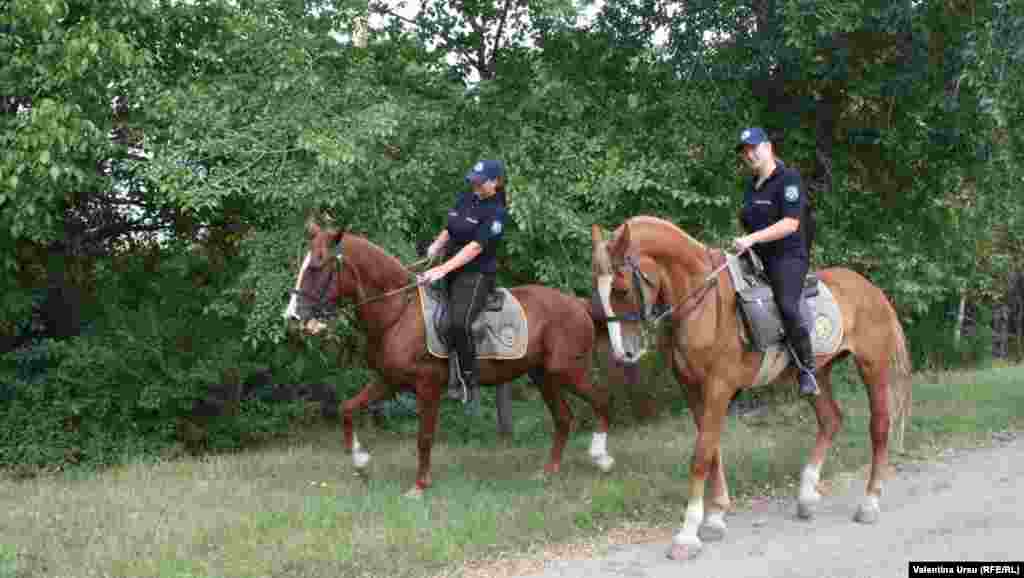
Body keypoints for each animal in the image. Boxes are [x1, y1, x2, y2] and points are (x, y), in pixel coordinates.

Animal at [284, 223, 610, 493]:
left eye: (317, 266)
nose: (293, 316)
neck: (397, 312)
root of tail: (578, 304)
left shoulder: (428, 386)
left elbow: (424, 437)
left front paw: (419, 485)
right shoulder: (388, 381)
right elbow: (348, 409)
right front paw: (361, 461)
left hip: (569, 372)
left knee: (601, 402)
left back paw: (601, 457)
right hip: (544, 376)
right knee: (564, 418)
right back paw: (549, 471)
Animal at [593, 215, 913, 561]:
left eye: (622, 288)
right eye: (598, 293)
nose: (623, 353)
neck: (703, 303)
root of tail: (872, 290)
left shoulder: (718, 387)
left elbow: (701, 455)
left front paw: (687, 534)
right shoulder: (692, 389)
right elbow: (712, 449)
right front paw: (715, 517)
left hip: (872, 367)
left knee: (879, 426)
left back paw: (869, 502)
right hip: (818, 373)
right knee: (830, 419)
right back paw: (806, 496)